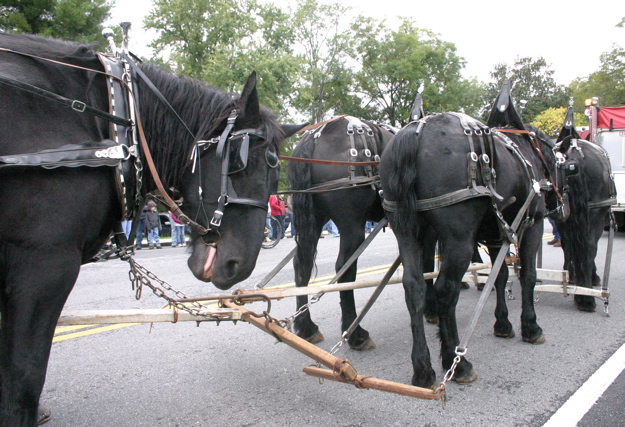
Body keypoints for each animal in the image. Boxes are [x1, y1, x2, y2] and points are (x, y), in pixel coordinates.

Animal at [288, 115, 394, 350]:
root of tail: (315, 135)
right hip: (351, 225)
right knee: (345, 269)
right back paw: (355, 334)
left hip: (315, 221)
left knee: (302, 266)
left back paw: (306, 327)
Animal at [376, 89, 556, 388]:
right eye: (558, 159)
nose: (559, 204)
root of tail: (414, 134)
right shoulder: (533, 225)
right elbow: (527, 275)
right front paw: (530, 326)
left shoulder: (495, 236)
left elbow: (500, 277)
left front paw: (503, 323)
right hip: (458, 239)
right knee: (445, 290)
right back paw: (456, 362)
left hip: (407, 231)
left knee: (414, 287)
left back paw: (423, 368)